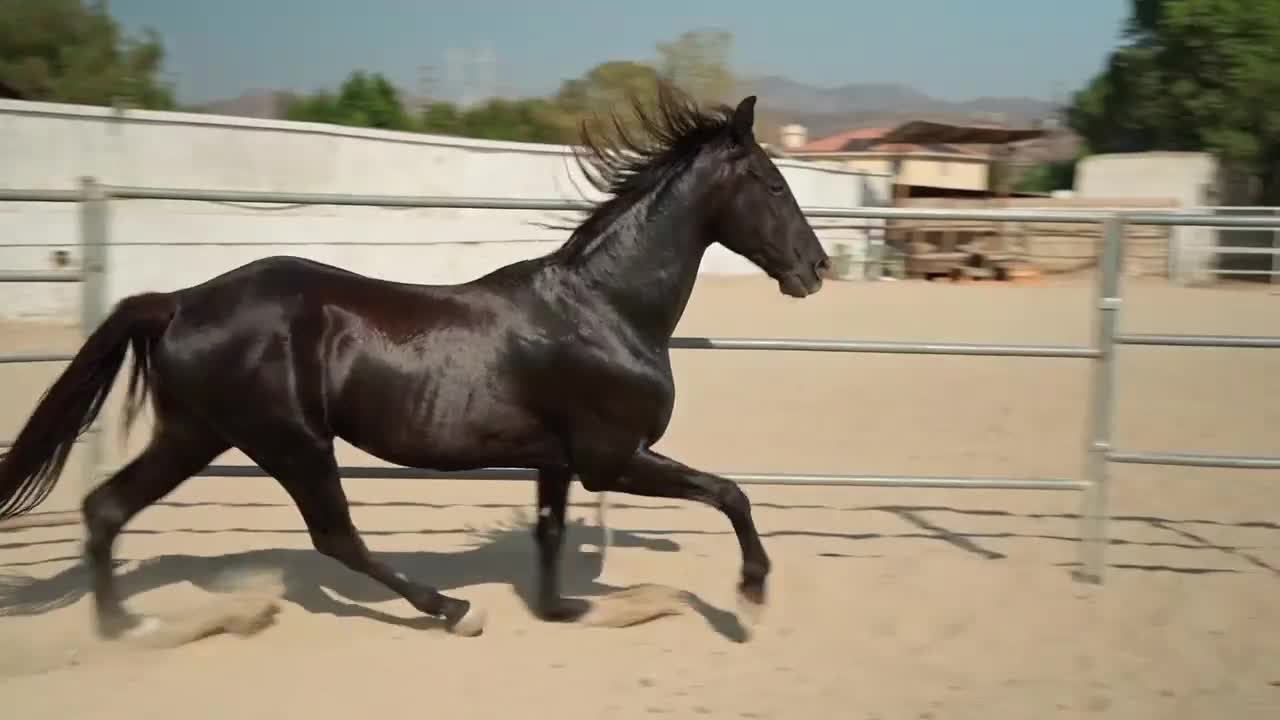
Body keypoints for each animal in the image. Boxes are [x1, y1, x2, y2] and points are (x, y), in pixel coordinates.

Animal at [0, 83, 829, 638]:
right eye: (773, 183)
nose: (816, 268)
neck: (607, 309)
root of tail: (177, 301)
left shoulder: (558, 462)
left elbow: (551, 539)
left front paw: (571, 609)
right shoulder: (612, 457)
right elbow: (730, 493)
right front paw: (751, 592)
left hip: (196, 433)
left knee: (107, 508)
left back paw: (128, 628)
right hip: (290, 442)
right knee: (336, 538)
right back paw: (451, 609)